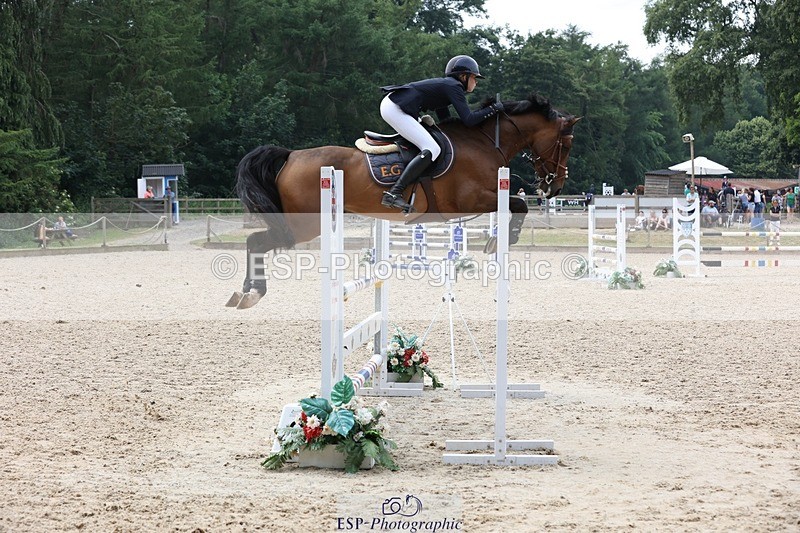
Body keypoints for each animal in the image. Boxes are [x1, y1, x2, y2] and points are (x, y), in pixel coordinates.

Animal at [227, 93, 579, 308]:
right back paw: (252, 292)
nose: (556, 186)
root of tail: (290, 156)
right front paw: (504, 239)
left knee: (255, 241)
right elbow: (519, 205)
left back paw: (245, 292)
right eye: (566, 144)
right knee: (257, 241)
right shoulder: (473, 199)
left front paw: (501, 239)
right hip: (306, 224)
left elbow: (517, 205)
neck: (481, 142)